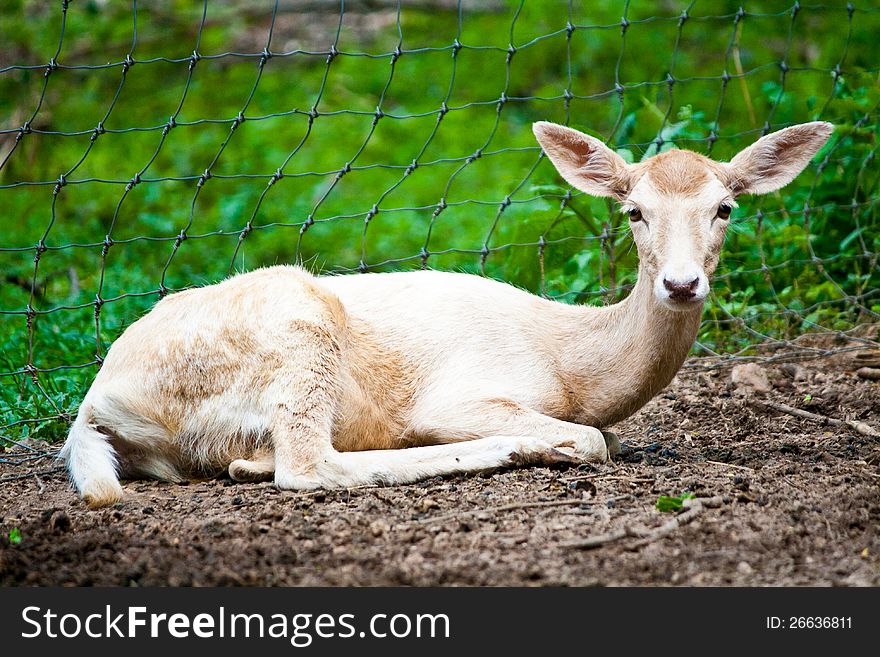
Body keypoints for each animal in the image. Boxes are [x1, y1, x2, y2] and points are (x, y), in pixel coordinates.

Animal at [62, 119, 832, 508]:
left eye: (725, 208)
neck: (571, 365)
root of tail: (96, 404)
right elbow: (593, 440)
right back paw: (498, 450)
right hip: (295, 328)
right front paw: (538, 443)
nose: (680, 282)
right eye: (634, 211)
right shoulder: (467, 389)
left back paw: (246, 462)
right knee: (306, 464)